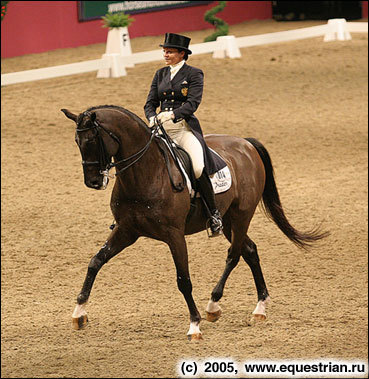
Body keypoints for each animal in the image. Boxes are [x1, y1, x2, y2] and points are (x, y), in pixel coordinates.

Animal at [61, 104, 328, 342]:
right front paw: (79, 313)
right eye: (76, 141)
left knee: (234, 254)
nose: (93, 182)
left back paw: (214, 305)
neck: (146, 173)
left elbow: (183, 280)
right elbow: (95, 262)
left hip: (241, 216)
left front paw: (194, 326)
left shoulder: (174, 235)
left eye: (92, 141)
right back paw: (259, 307)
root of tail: (246, 143)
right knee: (250, 250)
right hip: (228, 221)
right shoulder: (126, 230)